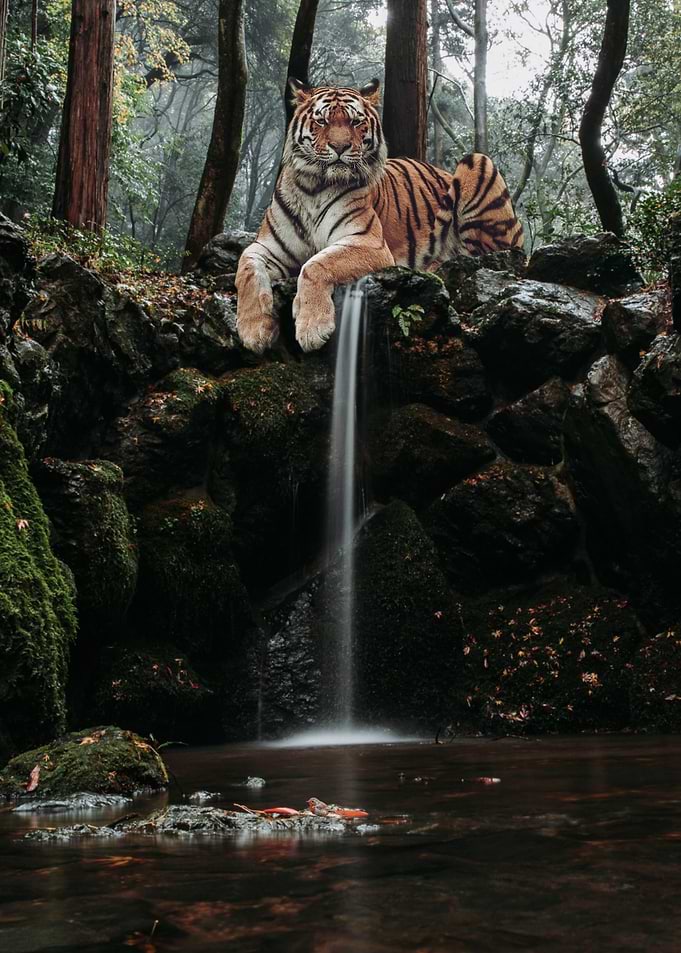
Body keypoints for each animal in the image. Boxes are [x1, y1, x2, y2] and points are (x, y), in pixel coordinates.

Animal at [235, 78, 523, 354]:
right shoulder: (269, 246)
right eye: (322, 121)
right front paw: (253, 330)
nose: (340, 146)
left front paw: (312, 328)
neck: (313, 187)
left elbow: (315, 265)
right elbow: (246, 268)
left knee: (483, 254)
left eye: (355, 121)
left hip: (478, 163)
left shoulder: (368, 243)